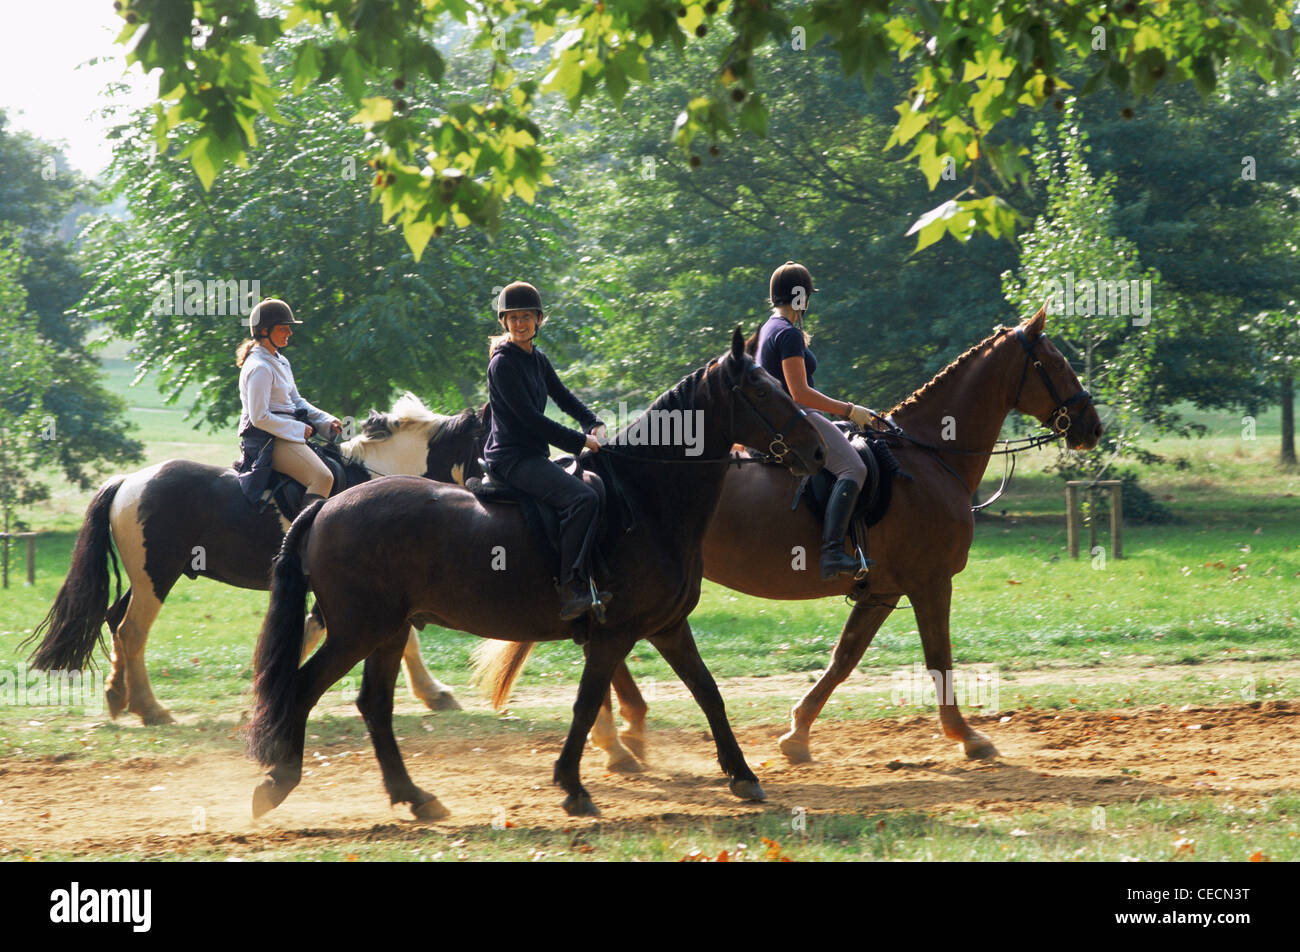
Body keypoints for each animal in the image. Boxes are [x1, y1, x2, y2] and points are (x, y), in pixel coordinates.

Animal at [25, 393, 487, 724]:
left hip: (144, 579)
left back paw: (118, 696)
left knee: (114, 620)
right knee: (131, 631)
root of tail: (128, 482)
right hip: (157, 578)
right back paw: (150, 709)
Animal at [245, 328, 827, 819]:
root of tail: (327, 505)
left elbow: (709, 693)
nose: (818, 451)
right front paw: (573, 785)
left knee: (373, 706)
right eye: (761, 391)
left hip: (386, 632)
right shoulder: (614, 635)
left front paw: (743, 775)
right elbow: (587, 703)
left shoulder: (667, 628)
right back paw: (279, 783)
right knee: (303, 689)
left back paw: (414, 796)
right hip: (358, 630)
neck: (645, 500)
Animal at [470, 306, 1103, 767]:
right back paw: (621, 738)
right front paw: (969, 737)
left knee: (610, 644)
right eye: (1055, 362)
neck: (930, 456)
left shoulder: (882, 588)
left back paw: (620, 735)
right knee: (612, 642)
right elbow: (938, 658)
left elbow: (845, 658)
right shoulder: (929, 582)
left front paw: (796, 734)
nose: (1092, 427)